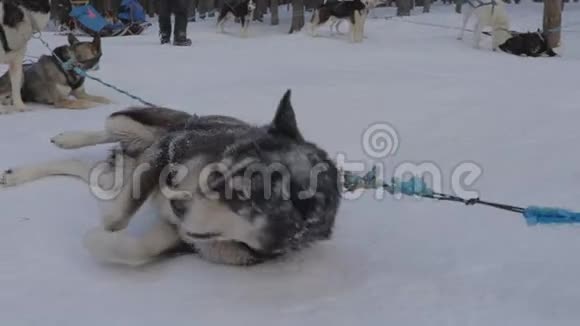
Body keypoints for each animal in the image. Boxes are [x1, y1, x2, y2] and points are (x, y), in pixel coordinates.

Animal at [0, 90, 342, 268]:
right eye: (218, 170)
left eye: (243, 196)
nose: (175, 200)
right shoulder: (169, 148)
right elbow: (116, 216)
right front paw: (106, 225)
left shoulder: (185, 235)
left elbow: (137, 250)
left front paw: (99, 239)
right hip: (143, 126)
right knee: (110, 128)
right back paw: (68, 138)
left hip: (116, 168)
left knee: (82, 167)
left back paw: (20, 174)